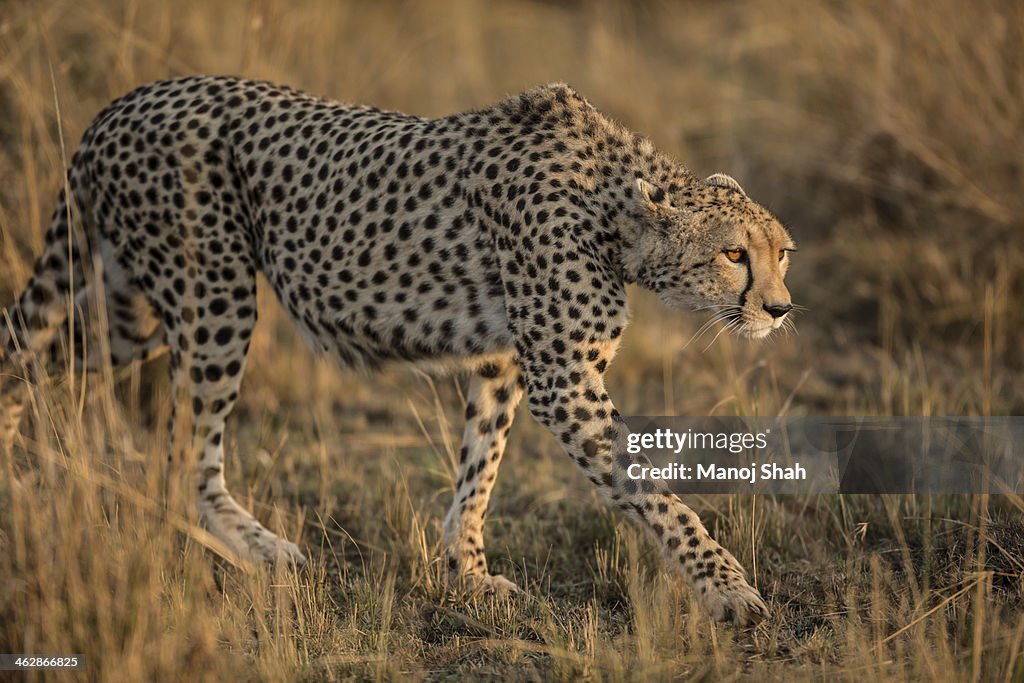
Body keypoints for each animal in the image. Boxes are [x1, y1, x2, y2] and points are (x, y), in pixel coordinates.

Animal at [0, 77, 794, 626]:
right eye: (733, 254)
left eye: (781, 252)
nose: (780, 308)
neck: (615, 208)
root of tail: (124, 101)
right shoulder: (564, 378)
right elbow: (655, 492)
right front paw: (727, 589)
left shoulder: (507, 361)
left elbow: (481, 465)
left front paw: (465, 570)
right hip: (213, 294)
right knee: (182, 452)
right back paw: (261, 549)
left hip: (127, 309)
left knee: (30, 351)